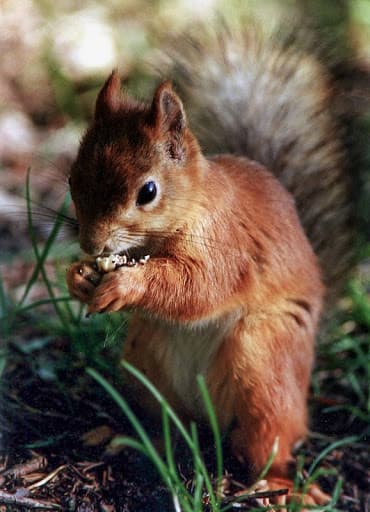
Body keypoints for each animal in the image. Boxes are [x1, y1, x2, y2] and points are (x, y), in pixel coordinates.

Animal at [66, 23, 356, 508]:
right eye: (72, 178)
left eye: (147, 191)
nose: (91, 243)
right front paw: (79, 277)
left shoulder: (228, 246)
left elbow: (200, 287)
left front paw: (126, 286)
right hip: (145, 364)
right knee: (170, 426)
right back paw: (129, 438)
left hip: (264, 370)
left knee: (267, 441)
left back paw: (278, 485)